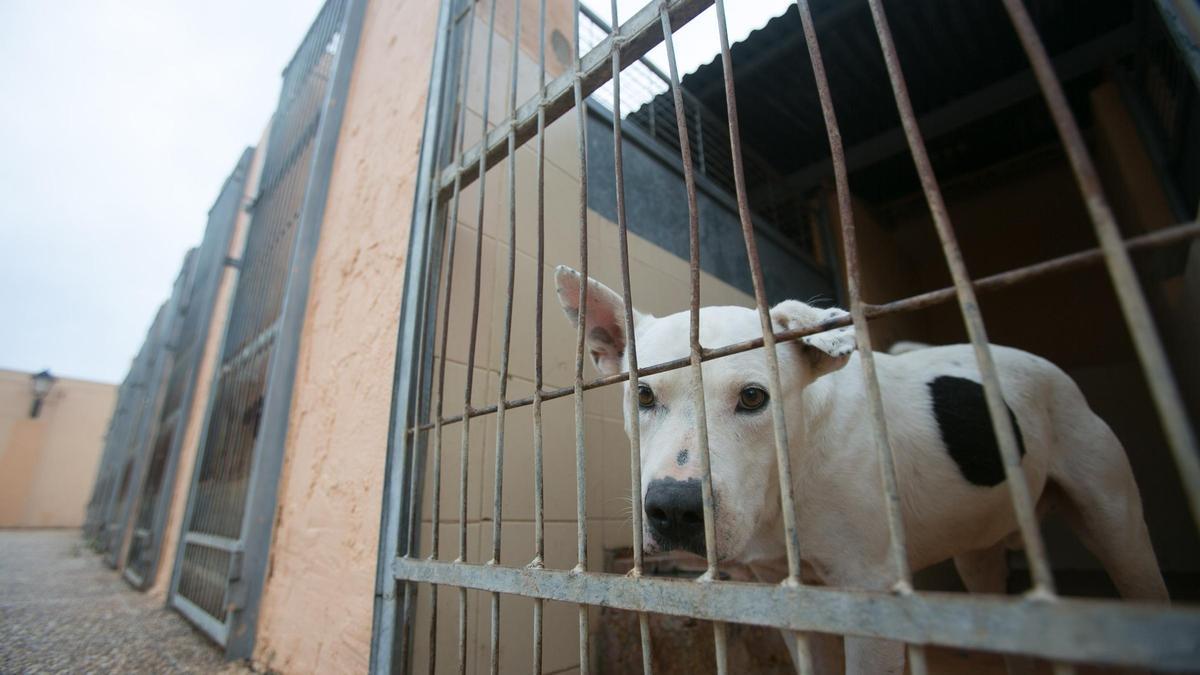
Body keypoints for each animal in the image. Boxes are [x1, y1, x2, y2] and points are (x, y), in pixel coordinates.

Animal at [556, 265, 1166, 672]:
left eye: (753, 397)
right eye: (643, 395)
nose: (674, 510)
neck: (789, 479)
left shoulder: (866, 601)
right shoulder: (788, 598)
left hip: (1117, 526)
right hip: (979, 552)